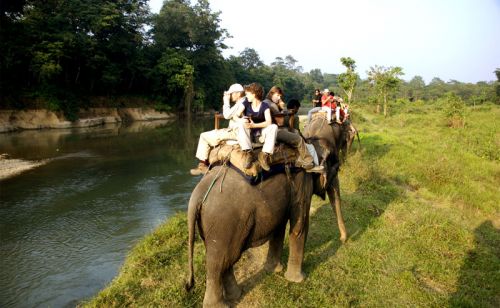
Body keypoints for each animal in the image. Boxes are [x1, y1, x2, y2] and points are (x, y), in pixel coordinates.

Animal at [186, 167, 314, 306]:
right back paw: (222, 305)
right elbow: (299, 226)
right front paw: (298, 280)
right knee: (218, 263)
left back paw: (236, 295)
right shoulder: (302, 183)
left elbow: (280, 227)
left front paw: (275, 270)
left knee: (225, 260)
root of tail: (197, 194)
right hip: (224, 223)